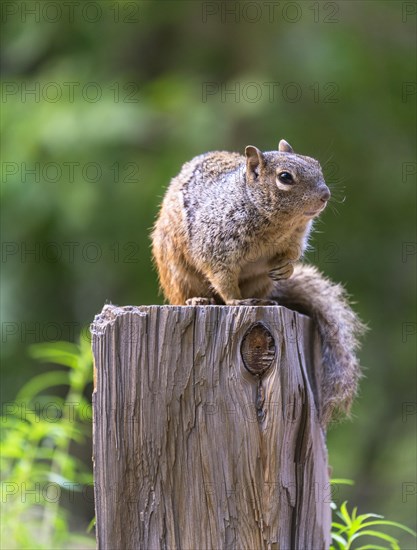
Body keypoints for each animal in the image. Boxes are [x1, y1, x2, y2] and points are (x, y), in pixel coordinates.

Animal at [150, 141, 364, 426]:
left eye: (315, 163)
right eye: (285, 177)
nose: (325, 195)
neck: (276, 225)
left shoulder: (292, 243)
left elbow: (290, 257)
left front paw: (285, 268)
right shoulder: (216, 246)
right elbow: (222, 276)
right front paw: (234, 300)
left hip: (260, 282)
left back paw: (265, 300)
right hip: (176, 271)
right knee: (186, 293)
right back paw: (199, 299)